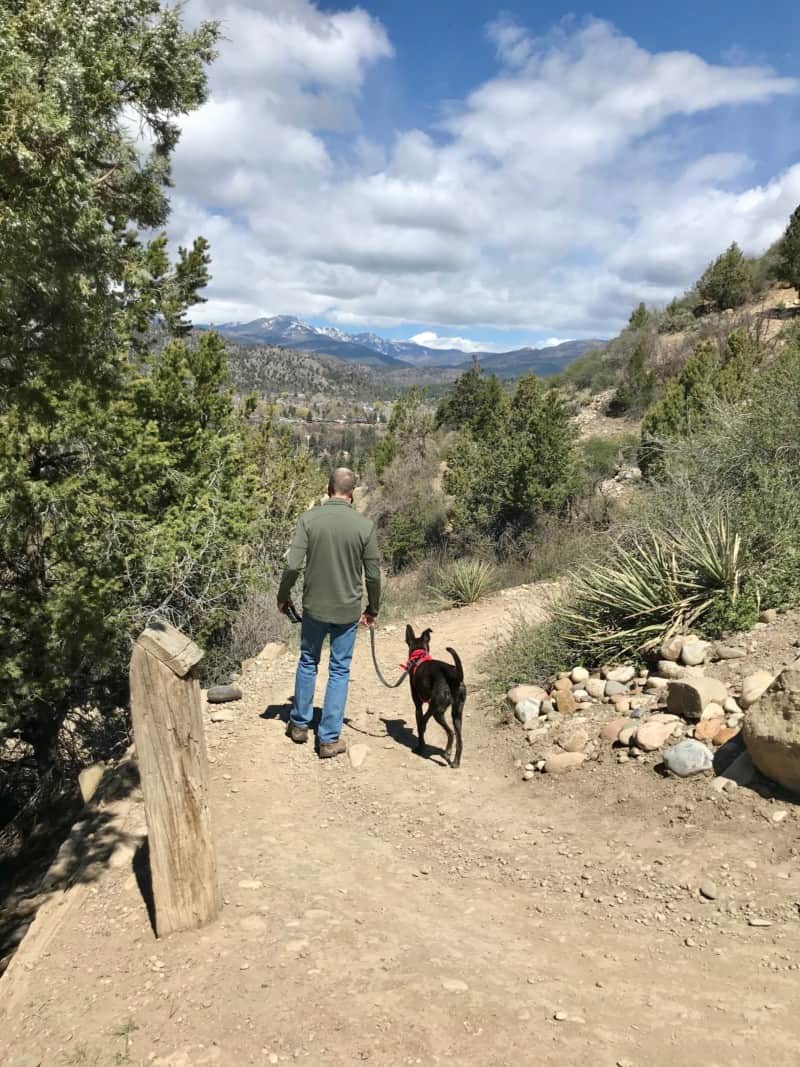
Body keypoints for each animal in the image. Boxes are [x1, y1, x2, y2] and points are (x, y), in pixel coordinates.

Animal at [403, 623, 467, 768]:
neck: (419, 655)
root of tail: (454, 676)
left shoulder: (419, 707)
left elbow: (420, 725)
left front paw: (420, 747)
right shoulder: (429, 707)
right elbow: (423, 723)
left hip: (438, 711)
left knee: (450, 732)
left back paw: (447, 753)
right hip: (457, 714)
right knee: (459, 740)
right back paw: (455, 762)